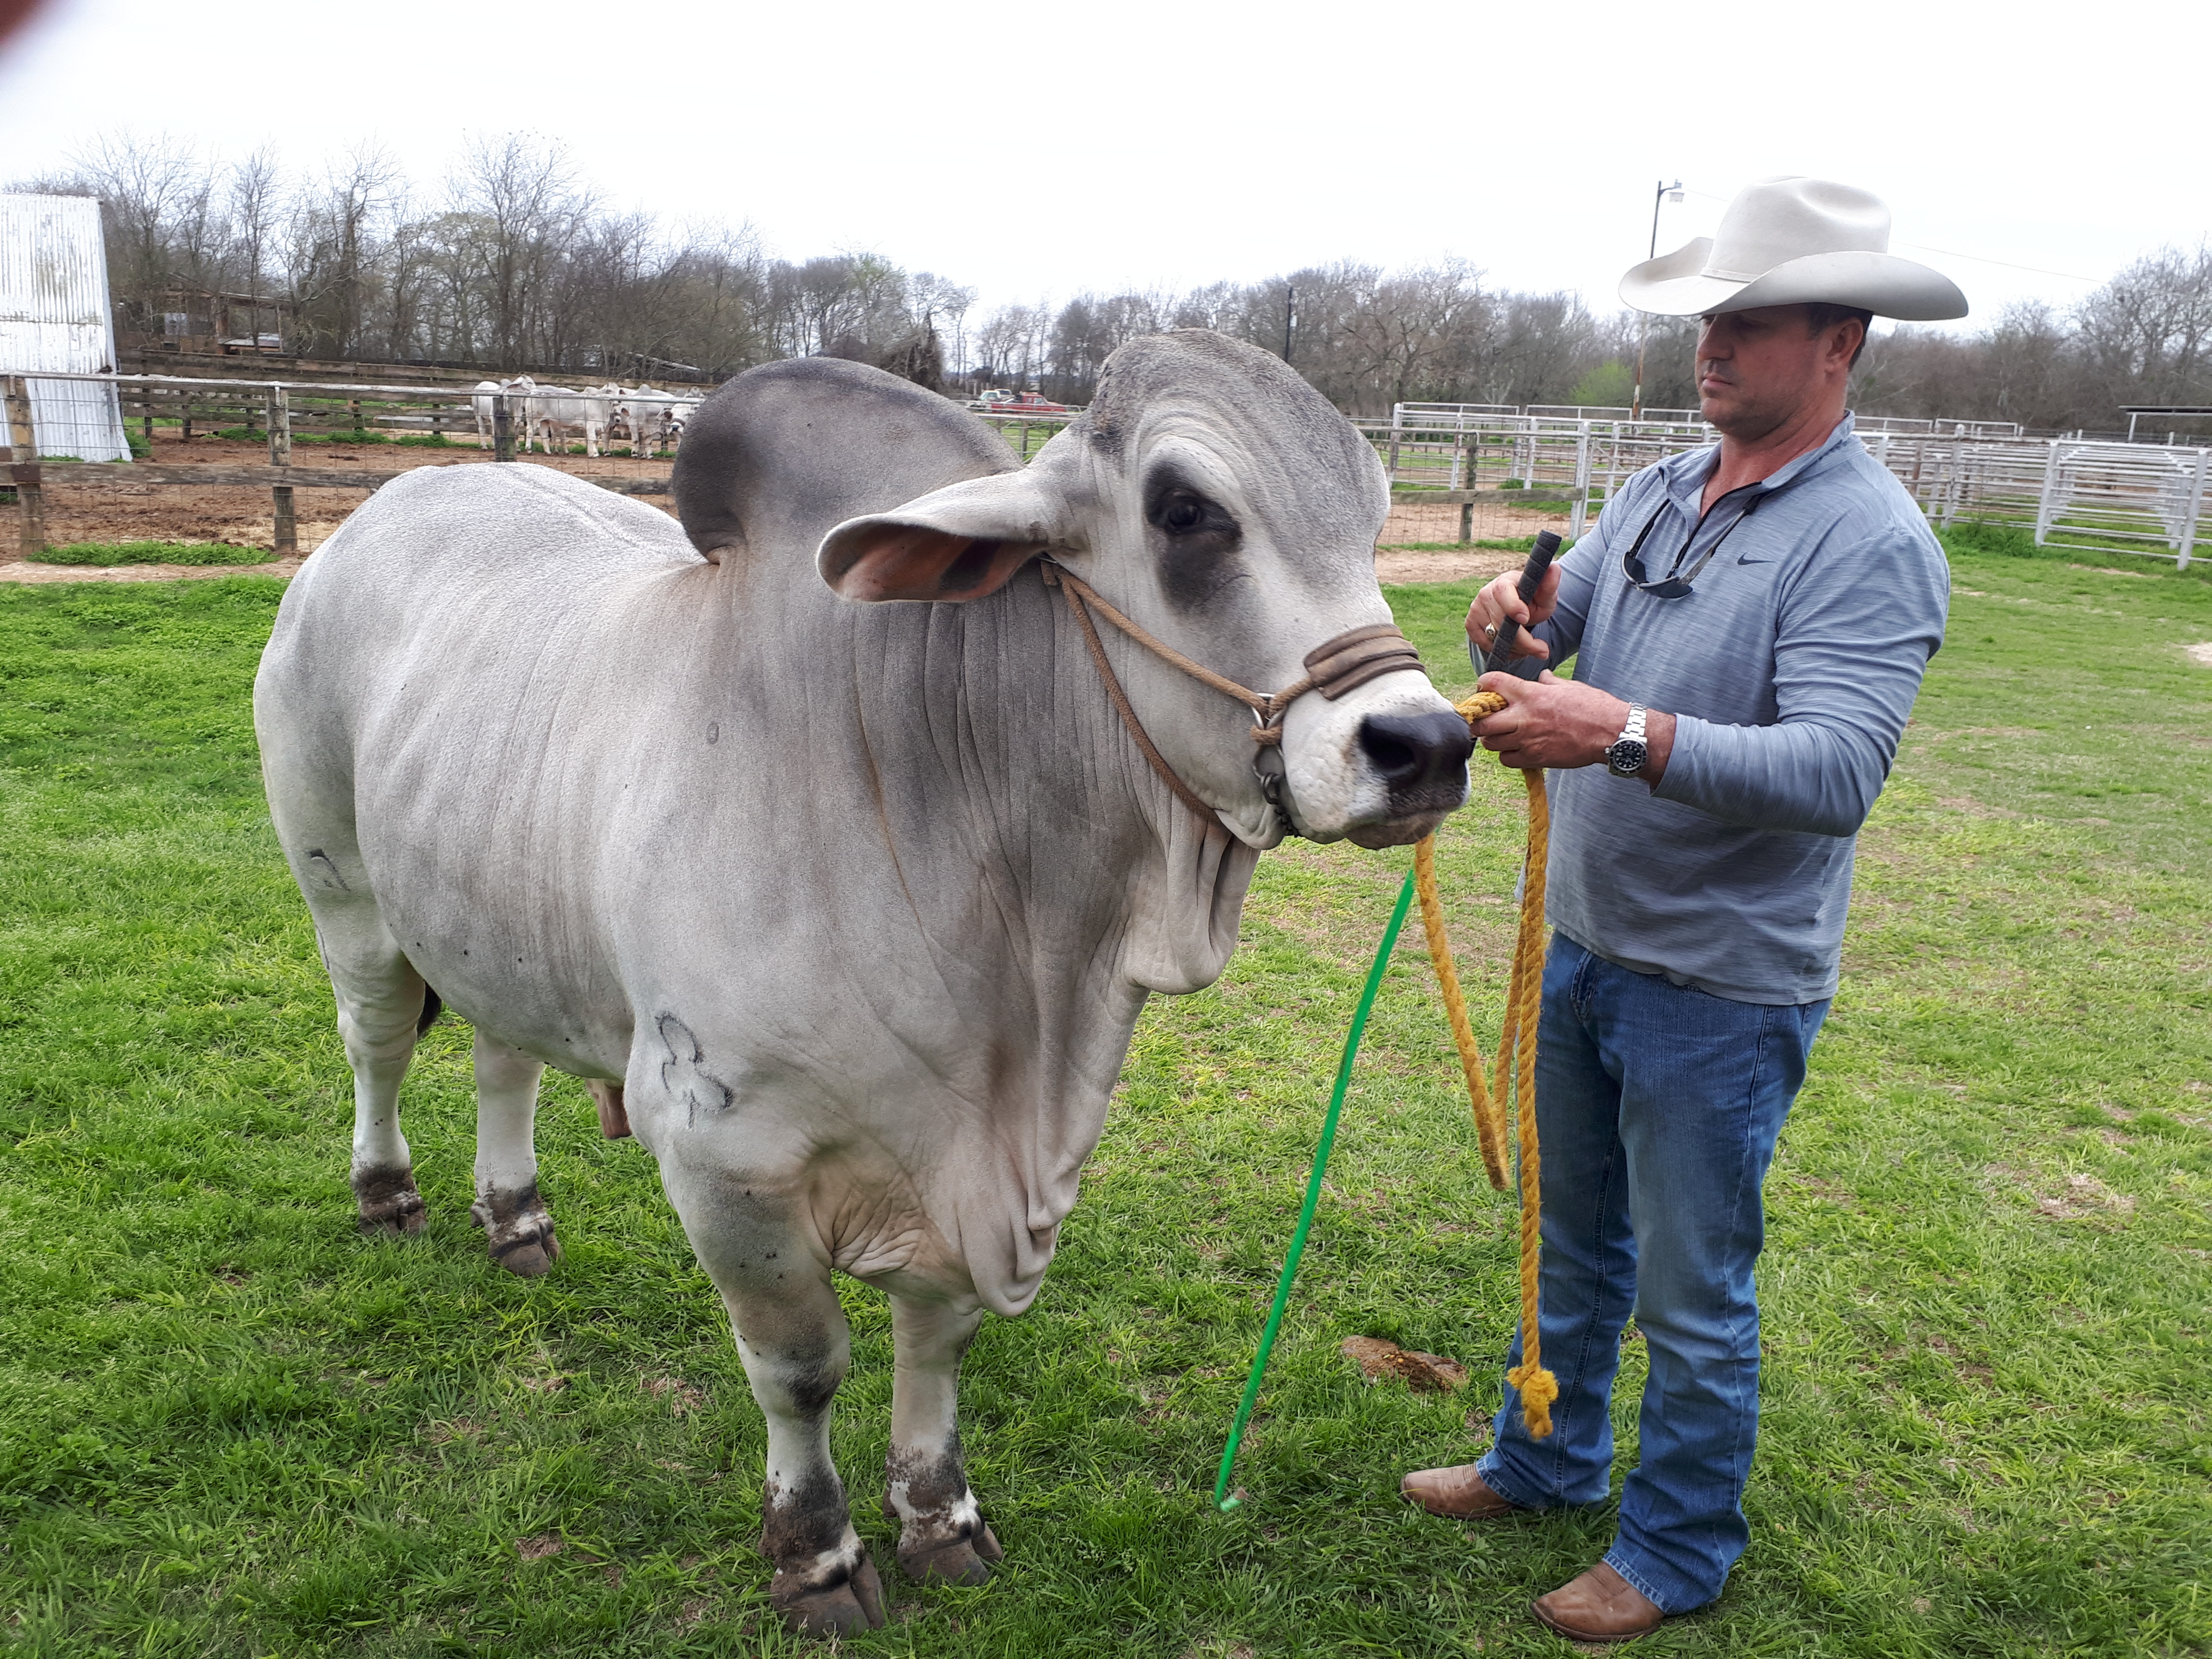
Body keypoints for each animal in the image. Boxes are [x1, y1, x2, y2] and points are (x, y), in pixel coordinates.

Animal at [251, 334, 1478, 1636]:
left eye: (1373, 515)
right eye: (1185, 509)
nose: (1427, 745)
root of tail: (377, 511)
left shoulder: (971, 1172)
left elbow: (936, 1344)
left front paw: (941, 1515)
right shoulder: (727, 1160)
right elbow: (802, 1367)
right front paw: (819, 1551)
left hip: (492, 914)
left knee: (502, 1061)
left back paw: (516, 1215)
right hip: (346, 894)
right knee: (378, 1042)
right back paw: (387, 1192)